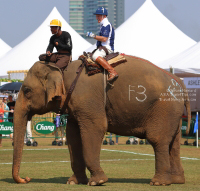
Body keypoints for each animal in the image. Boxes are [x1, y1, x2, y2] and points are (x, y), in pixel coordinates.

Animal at [12, 54, 191, 186]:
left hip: (164, 107)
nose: (27, 179)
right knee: (174, 143)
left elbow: (95, 128)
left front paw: (97, 182)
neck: (63, 70)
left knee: (158, 139)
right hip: (173, 112)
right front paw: (73, 182)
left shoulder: (88, 98)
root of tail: (179, 82)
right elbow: (73, 137)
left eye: (26, 90)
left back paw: (158, 183)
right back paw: (176, 181)